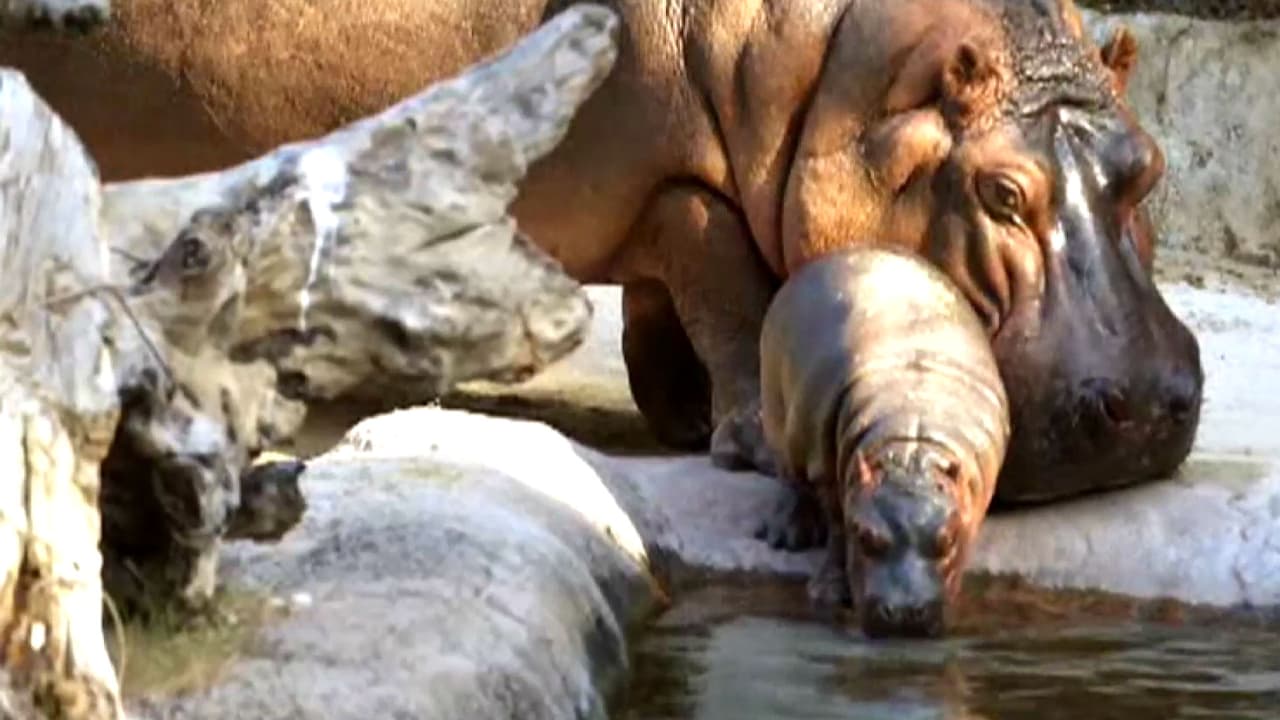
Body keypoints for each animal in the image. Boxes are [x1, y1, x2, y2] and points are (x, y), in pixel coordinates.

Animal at [1, 0, 1203, 503]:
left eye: (1146, 164)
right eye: (1000, 190)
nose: (1147, 404)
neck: (860, 74)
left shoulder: (668, 195)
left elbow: (668, 317)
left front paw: (676, 422)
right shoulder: (688, 191)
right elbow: (730, 303)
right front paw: (746, 447)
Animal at [760, 246, 1008, 637]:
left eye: (948, 538)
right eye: (865, 536)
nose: (905, 614)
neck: (911, 440)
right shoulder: (828, 473)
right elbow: (837, 526)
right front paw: (828, 594)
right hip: (777, 406)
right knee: (787, 472)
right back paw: (787, 535)